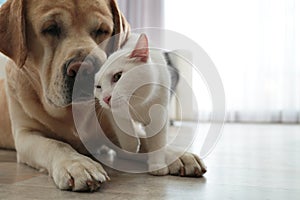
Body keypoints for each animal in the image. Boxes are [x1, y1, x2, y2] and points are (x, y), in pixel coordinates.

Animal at [0, 0, 206, 192]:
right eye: (50, 28)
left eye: (102, 30)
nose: (84, 69)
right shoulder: (26, 135)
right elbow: (55, 144)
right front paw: (78, 164)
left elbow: (145, 139)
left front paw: (177, 155)